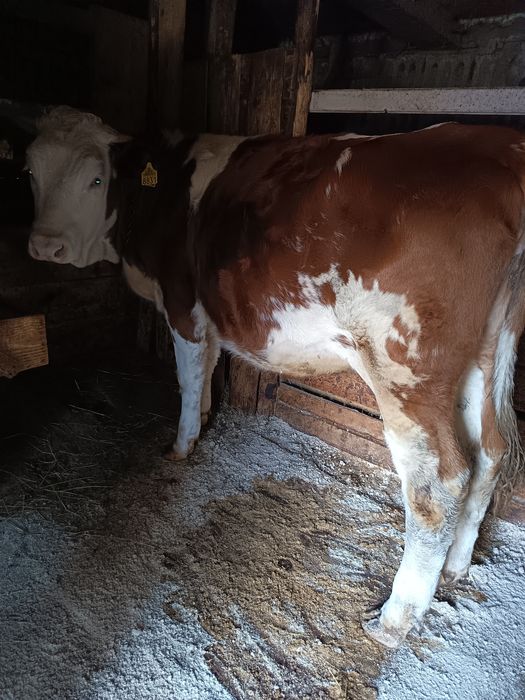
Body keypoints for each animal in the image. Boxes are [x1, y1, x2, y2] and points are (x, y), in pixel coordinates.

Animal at [25, 106, 525, 648]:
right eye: (29, 174)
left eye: (96, 179)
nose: (45, 247)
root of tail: (499, 147)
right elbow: (205, 370)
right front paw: (204, 419)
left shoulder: (181, 302)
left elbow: (187, 375)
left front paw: (181, 445)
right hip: (485, 354)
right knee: (490, 452)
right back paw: (456, 567)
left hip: (403, 368)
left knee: (438, 487)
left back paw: (394, 620)